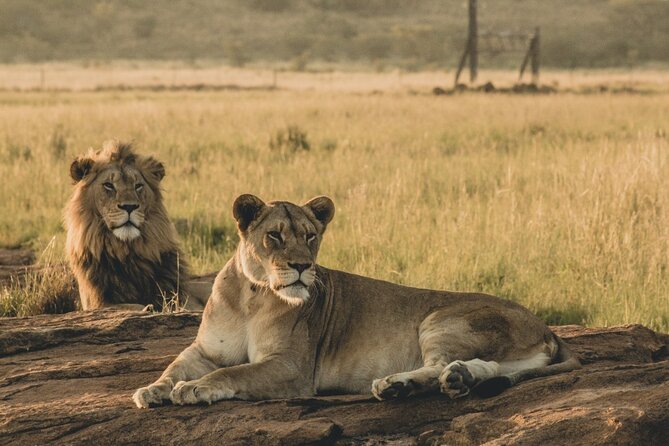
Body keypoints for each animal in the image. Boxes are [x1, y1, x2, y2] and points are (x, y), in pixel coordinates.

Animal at [64, 141, 209, 312]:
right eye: (108, 185)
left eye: (138, 186)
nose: (129, 207)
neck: (127, 252)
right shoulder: (97, 302)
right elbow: (126, 306)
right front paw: (147, 308)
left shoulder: (184, 297)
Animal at [132, 195, 580, 408]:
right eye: (274, 235)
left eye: (310, 236)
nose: (302, 266)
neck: (252, 295)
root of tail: (547, 327)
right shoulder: (205, 349)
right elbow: (175, 366)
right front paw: (152, 390)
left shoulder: (292, 368)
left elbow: (234, 373)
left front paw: (195, 389)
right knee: (485, 368)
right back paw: (457, 379)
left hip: (441, 319)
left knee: (437, 364)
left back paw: (396, 385)